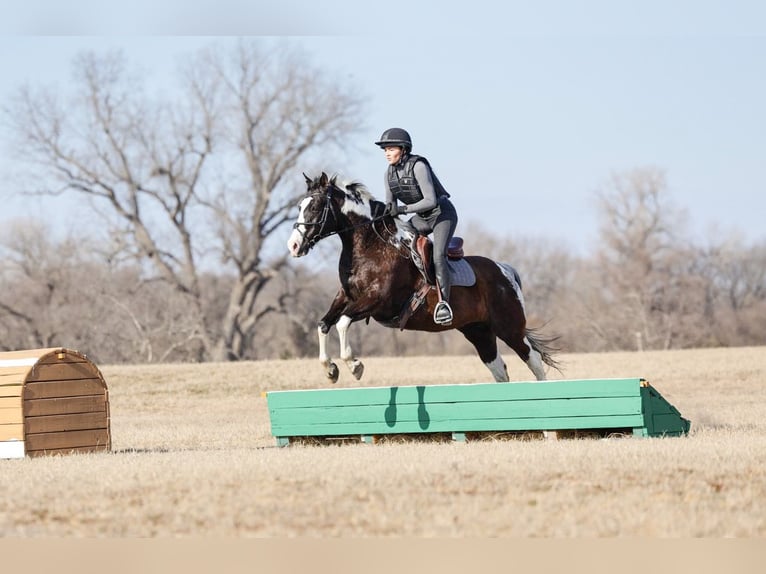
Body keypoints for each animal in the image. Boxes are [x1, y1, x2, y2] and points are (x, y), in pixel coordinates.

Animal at [287, 172, 560, 384]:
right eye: (299, 207)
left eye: (314, 207)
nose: (293, 246)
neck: (370, 245)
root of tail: (505, 271)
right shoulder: (346, 297)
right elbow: (323, 324)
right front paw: (330, 370)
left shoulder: (377, 301)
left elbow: (342, 322)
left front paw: (354, 366)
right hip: (478, 331)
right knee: (500, 370)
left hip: (509, 327)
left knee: (533, 360)